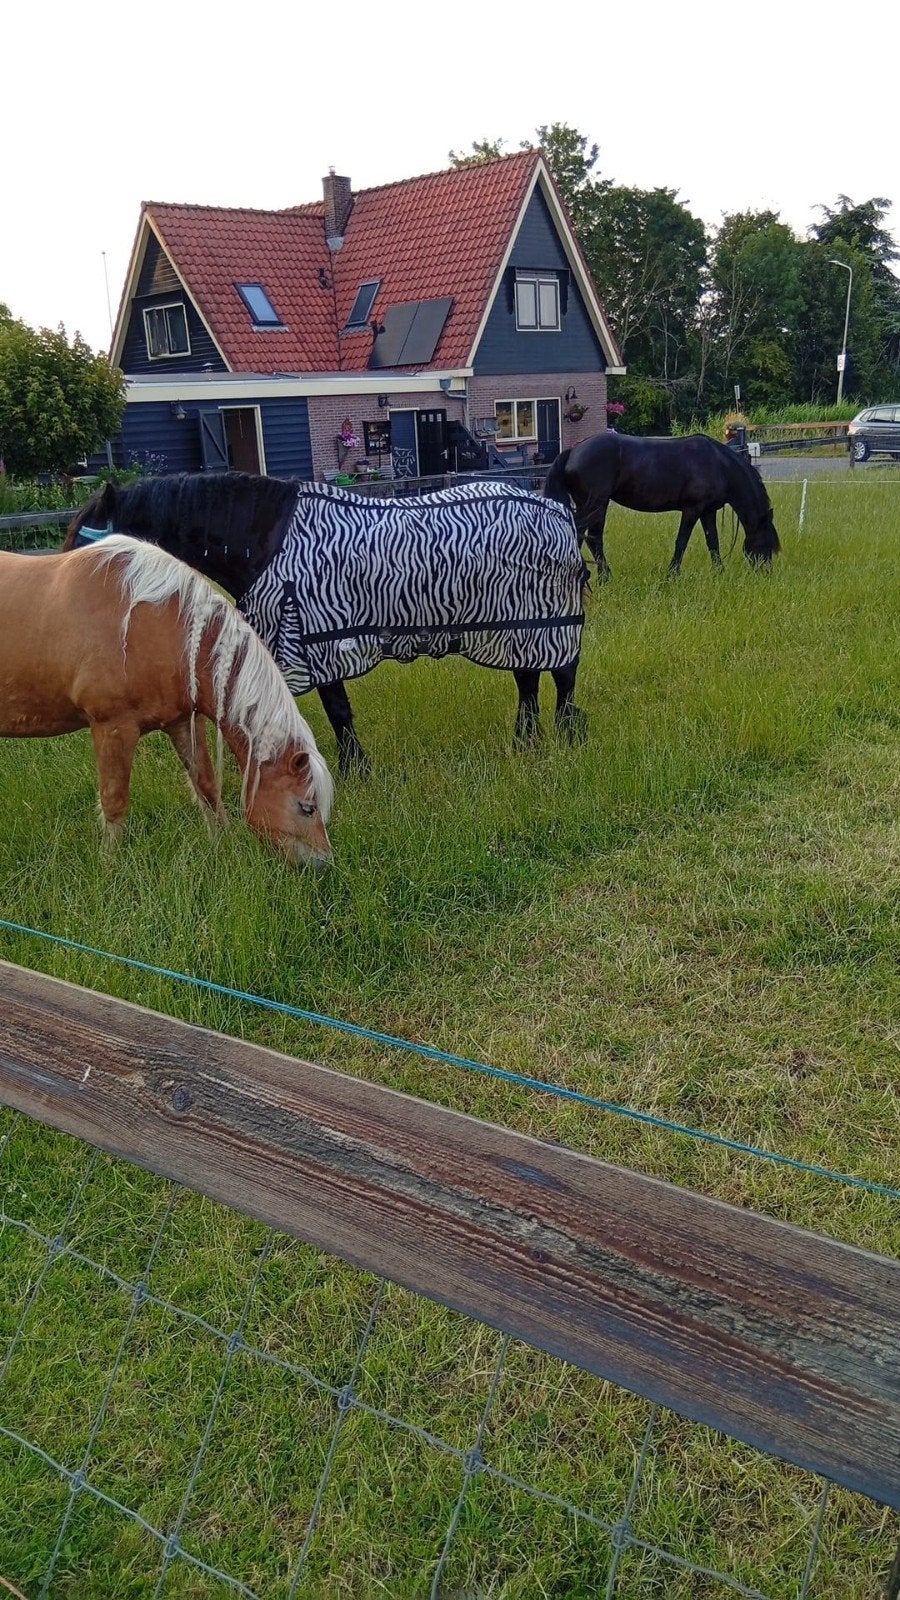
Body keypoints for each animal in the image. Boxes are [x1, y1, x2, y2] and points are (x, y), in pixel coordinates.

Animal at [0, 537, 333, 862]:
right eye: (307, 808)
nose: (322, 864)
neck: (156, 625)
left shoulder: (182, 723)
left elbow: (206, 785)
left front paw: (223, 843)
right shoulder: (112, 728)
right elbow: (114, 800)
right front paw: (109, 865)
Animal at [65, 474, 588, 775]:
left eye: (87, 547)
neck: (265, 539)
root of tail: (559, 509)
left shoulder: (318, 644)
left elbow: (338, 712)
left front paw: (356, 770)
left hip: (546, 626)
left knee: (561, 682)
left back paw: (564, 739)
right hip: (518, 630)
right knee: (527, 684)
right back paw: (525, 743)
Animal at [543, 432, 780, 578]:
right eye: (766, 543)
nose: (766, 573)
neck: (719, 464)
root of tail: (573, 452)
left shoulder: (707, 512)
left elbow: (712, 542)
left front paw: (719, 572)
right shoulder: (692, 510)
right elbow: (681, 542)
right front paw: (672, 574)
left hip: (594, 505)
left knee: (591, 537)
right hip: (595, 504)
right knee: (583, 535)